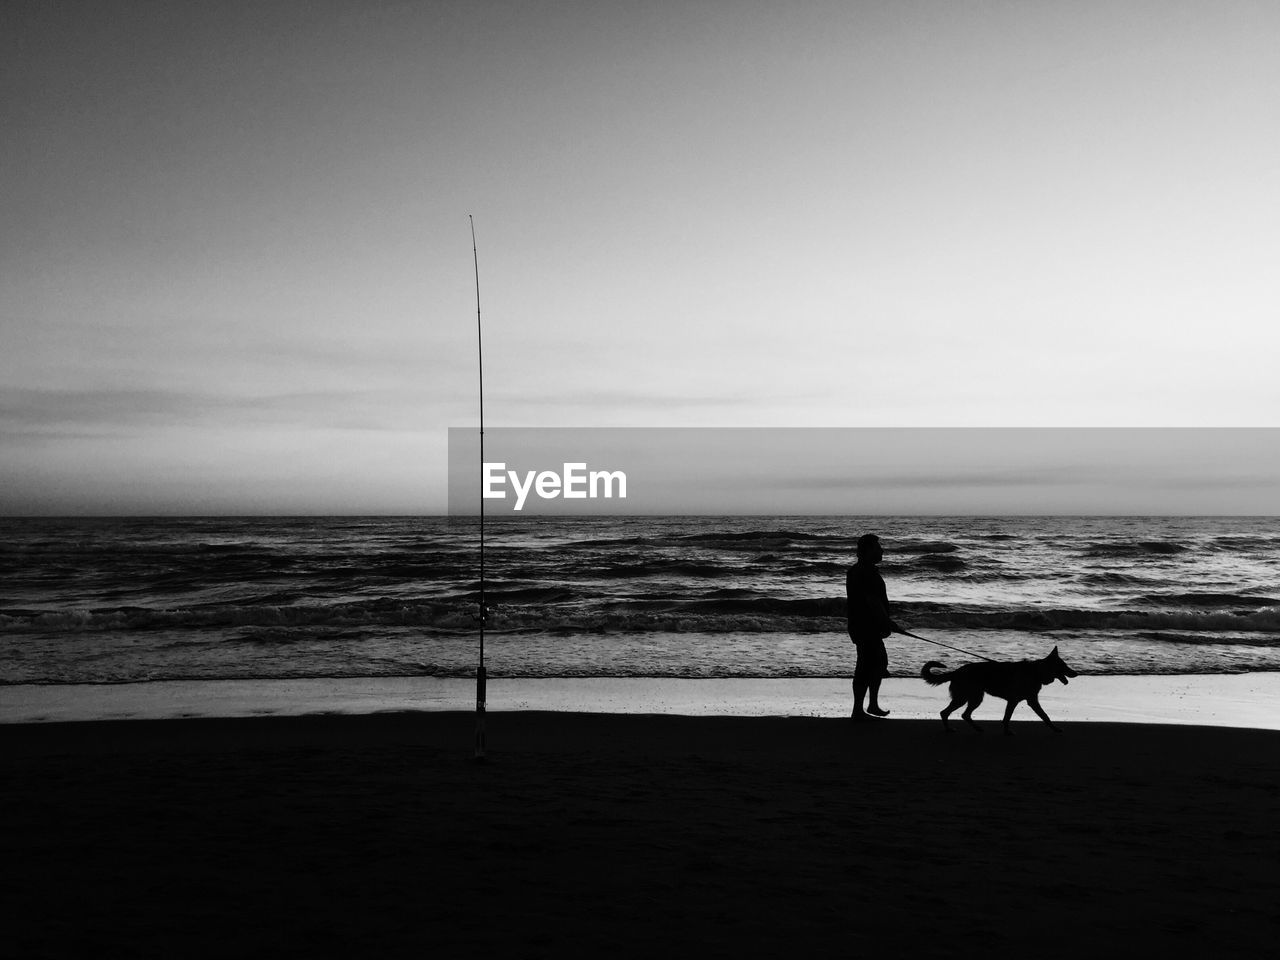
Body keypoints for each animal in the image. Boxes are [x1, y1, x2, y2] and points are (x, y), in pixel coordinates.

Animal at [921, 647, 1080, 737]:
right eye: (1064, 666)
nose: (1076, 673)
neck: (1036, 672)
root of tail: (956, 672)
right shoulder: (1021, 701)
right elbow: (1041, 716)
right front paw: (1007, 732)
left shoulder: (1026, 700)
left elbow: (1040, 716)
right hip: (965, 698)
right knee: (946, 712)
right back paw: (949, 729)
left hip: (974, 698)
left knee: (964, 714)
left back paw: (977, 728)